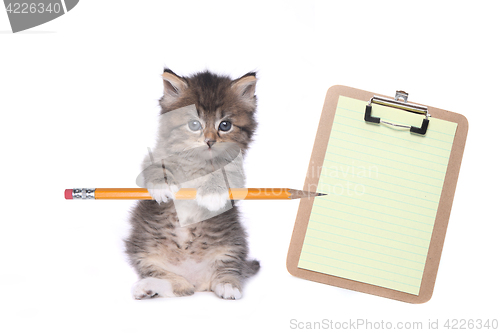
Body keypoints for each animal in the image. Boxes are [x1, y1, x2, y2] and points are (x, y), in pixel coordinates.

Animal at [125, 68, 260, 300]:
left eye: (225, 125)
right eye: (194, 124)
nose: (209, 141)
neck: (198, 164)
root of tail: (197, 281)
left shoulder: (238, 173)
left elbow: (225, 172)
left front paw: (212, 194)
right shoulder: (152, 159)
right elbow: (157, 168)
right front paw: (162, 187)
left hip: (232, 246)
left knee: (227, 272)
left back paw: (228, 286)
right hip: (146, 255)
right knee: (177, 285)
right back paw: (147, 287)